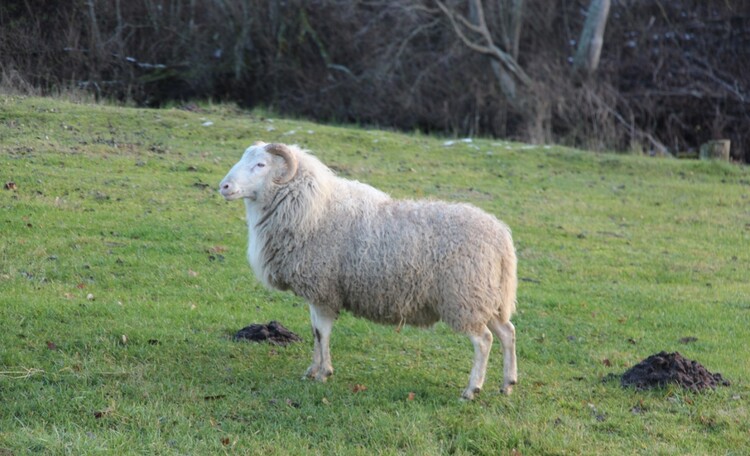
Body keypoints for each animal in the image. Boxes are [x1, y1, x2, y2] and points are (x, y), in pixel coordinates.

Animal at [220, 140, 520, 400]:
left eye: (260, 164)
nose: (224, 186)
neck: (312, 210)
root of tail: (501, 237)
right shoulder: (316, 294)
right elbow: (315, 333)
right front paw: (312, 370)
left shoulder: (323, 290)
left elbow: (322, 333)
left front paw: (323, 373)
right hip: (487, 297)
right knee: (507, 332)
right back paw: (507, 384)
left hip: (465, 297)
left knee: (484, 340)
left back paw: (472, 389)